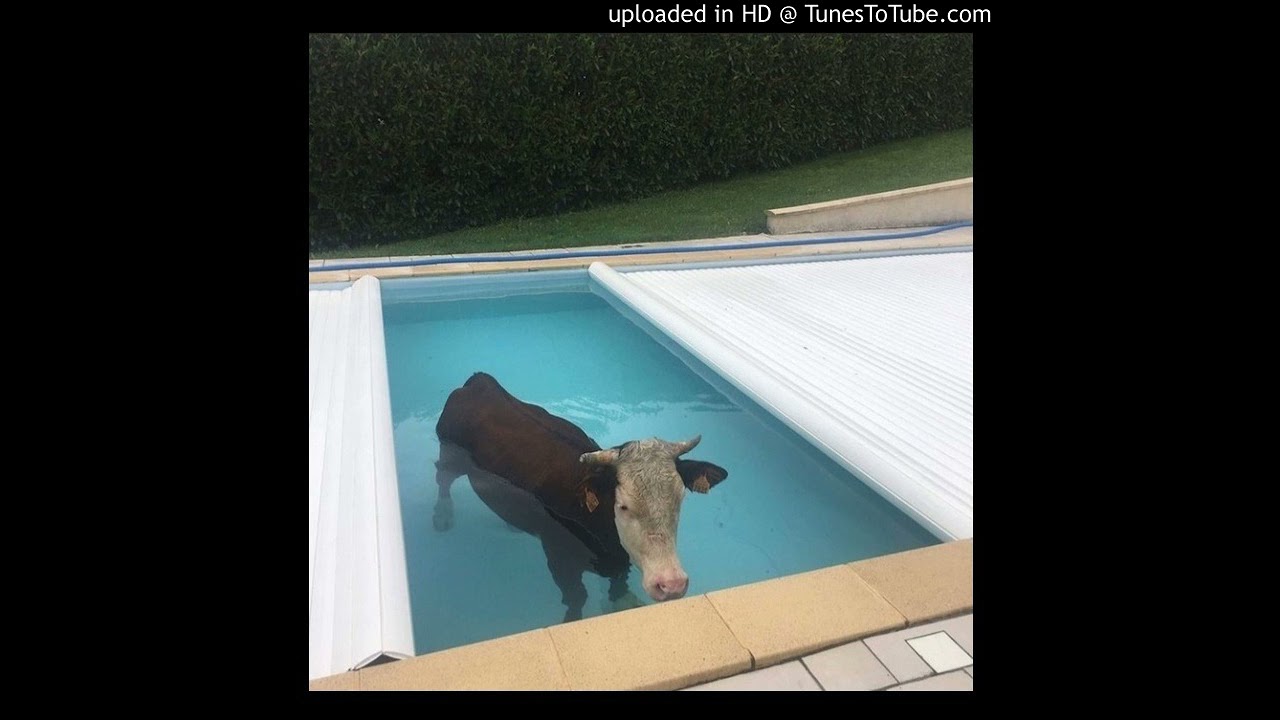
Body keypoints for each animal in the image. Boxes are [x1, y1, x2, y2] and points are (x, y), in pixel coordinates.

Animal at [432, 372, 728, 622]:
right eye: (624, 507)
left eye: (679, 499)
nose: (672, 584)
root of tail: (481, 381)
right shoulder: (557, 552)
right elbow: (576, 598)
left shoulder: (618, 563)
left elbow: (616, 590)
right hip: (450, 451)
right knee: (443, 478)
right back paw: (442, 516)